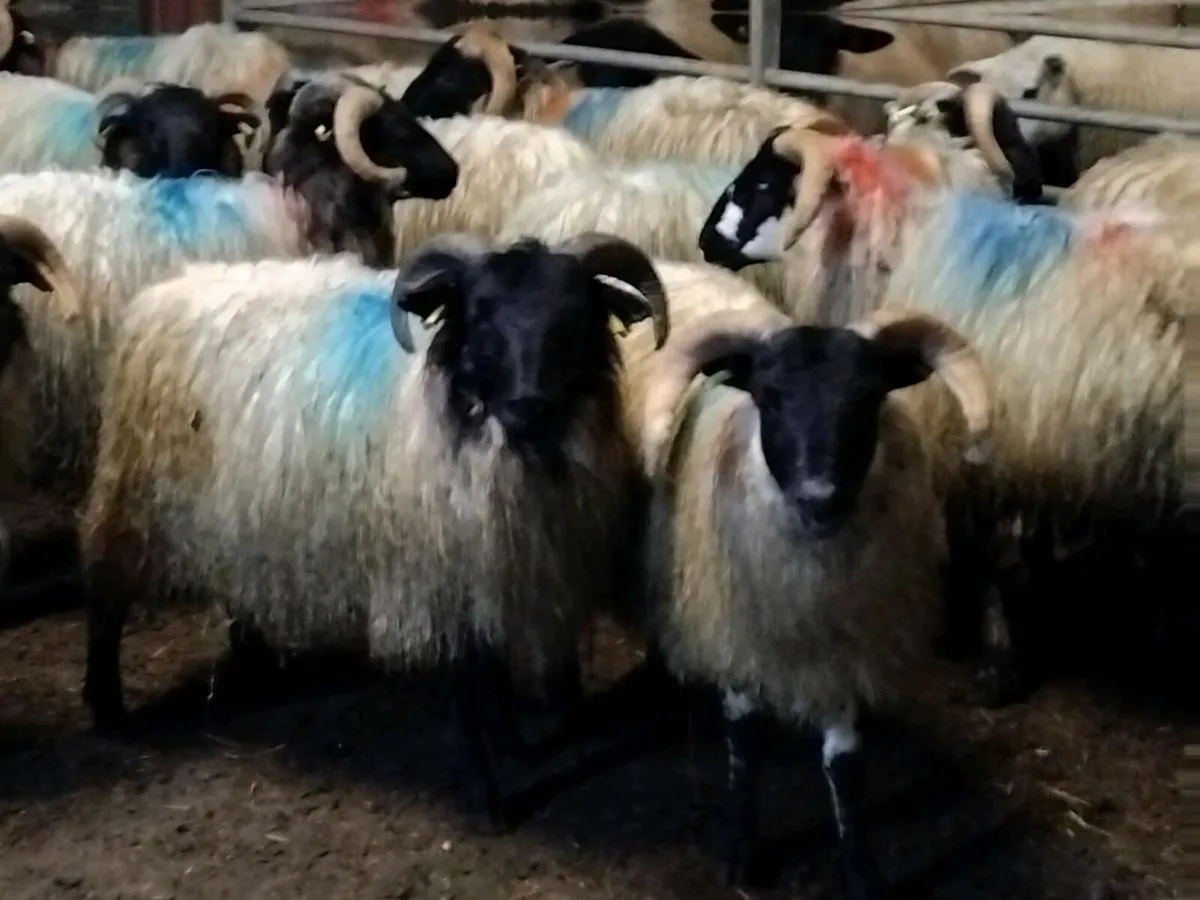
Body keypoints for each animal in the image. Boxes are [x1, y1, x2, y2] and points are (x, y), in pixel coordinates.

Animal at [79, 232, 670, 831]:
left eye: (572, 314)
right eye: (480, 313)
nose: (528, 404)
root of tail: (163, 292)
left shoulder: (489, 560)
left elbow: (496, 674)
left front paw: (517, 748)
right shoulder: (437, 569)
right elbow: (468, 693)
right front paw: (491, 802)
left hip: (239, 512)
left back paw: (258, 669)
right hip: (136, 501)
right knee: (106, 599)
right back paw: (107, 708)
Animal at [626, 301, 989, 892]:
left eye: (869, 395)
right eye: (769, 395)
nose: (821, 499)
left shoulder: (842, 648)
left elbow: (845, 767)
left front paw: (861, 874)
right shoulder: (737, 640)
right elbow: (744, 742)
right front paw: (743, 855)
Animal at [697, 125, 1186, 705]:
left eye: (766, 182)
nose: (706, 241)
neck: (897, 246)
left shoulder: (974, 449)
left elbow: (986, 553)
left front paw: (997, 659)